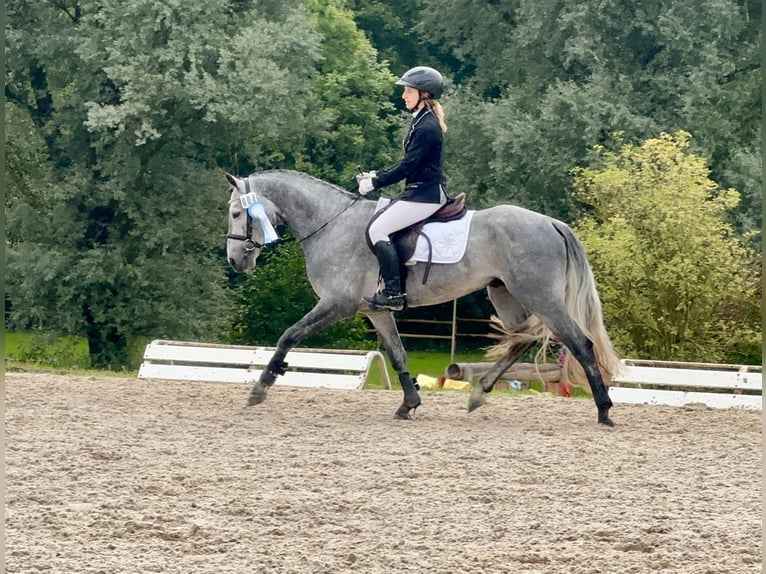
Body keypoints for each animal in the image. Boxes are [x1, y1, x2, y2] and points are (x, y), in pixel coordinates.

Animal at [225, 170, 622, 425]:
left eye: (236, 212)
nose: (235, 261)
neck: (331, 224)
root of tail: (551, 222)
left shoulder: (338, 304)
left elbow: (289, 335)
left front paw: (262, 387)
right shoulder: (376, 311)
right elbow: (398, 354)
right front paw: (409, 404)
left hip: (539, 295)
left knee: (579, 343)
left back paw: (604, 410)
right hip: (504, 293)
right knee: (520, 341)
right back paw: (478, 394)